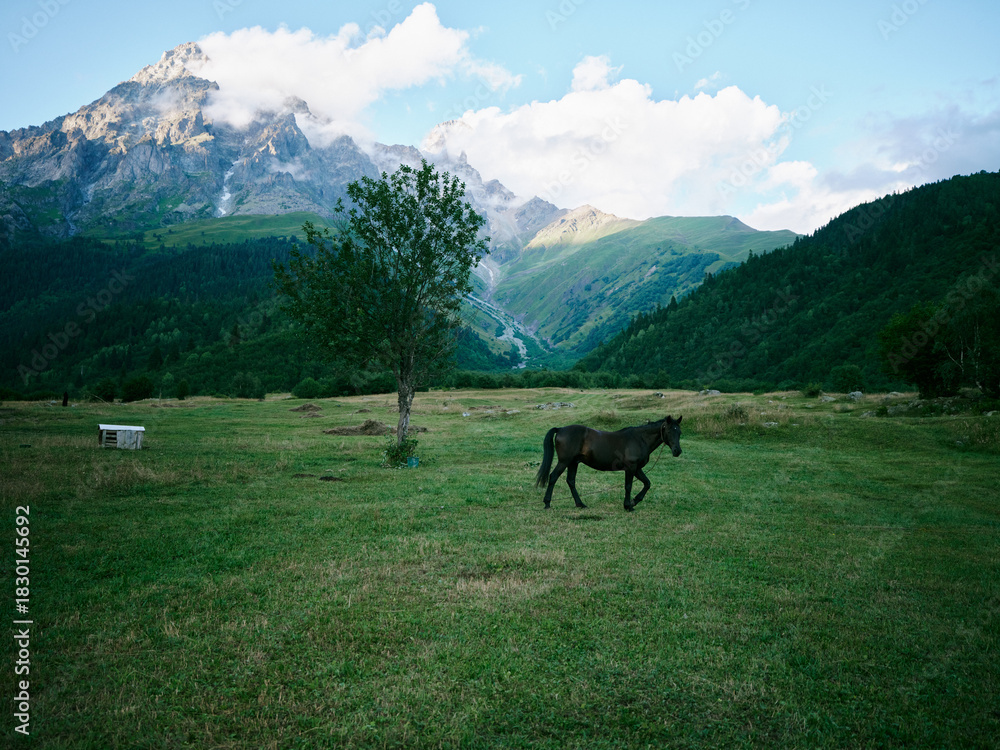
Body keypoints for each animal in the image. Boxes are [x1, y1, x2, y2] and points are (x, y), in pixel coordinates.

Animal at [534, 416, 682, 512]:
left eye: (680, 432)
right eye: (669, 431)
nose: (677, 451)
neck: (639, 439)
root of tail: (560, 429)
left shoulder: (637, 468)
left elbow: (647, 484)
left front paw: (634, 501)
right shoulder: (631, 468)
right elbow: (628, 486)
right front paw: (628, 505)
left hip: (573, 463)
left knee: (570, 481)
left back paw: (580, 504)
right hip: (564, 462)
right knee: (553, 477)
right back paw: (547, 503)